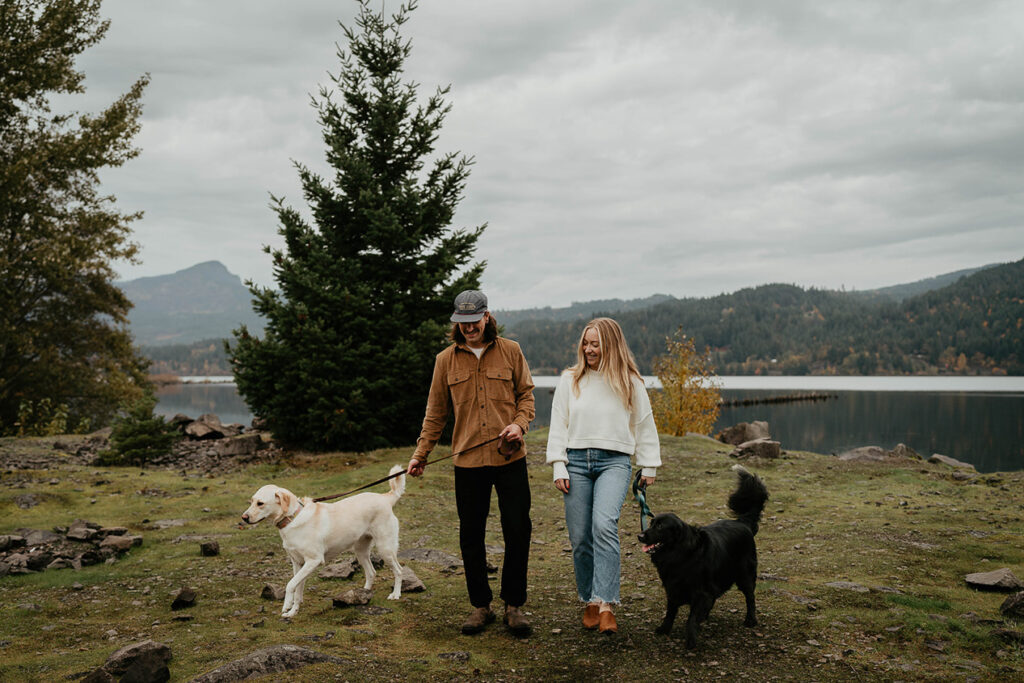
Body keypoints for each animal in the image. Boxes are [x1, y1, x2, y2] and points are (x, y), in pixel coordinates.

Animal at [634, 464, 770, 647]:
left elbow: (691, 618)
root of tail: (743, 522)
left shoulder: (701, 591)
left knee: (750, 596)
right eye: (652, 523)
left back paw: (750, 620)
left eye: (661, 527)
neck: (681, 552)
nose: (640, 536)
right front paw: (664, 629)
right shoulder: (673, 587)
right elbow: (670, 611)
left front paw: (691, 639)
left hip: (745, 574)